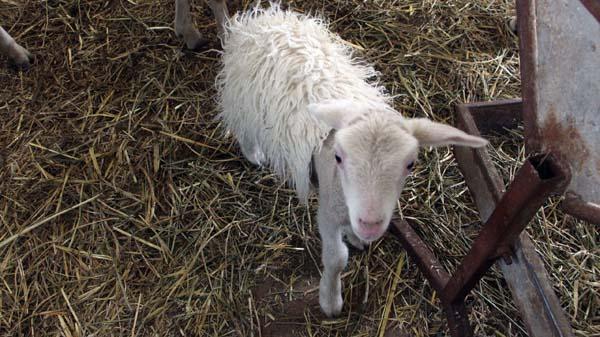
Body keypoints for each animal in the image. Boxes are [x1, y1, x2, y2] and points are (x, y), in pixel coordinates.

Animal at [216, 4, 488, 316]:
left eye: (410, 164)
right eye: (338, 157)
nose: (370, 224)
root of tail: (264, 17)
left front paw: (356, 237)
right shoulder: (327, 211)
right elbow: (337, 259)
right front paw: (330, 301)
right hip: (243, 96)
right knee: (243, 125)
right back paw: (253, 154)